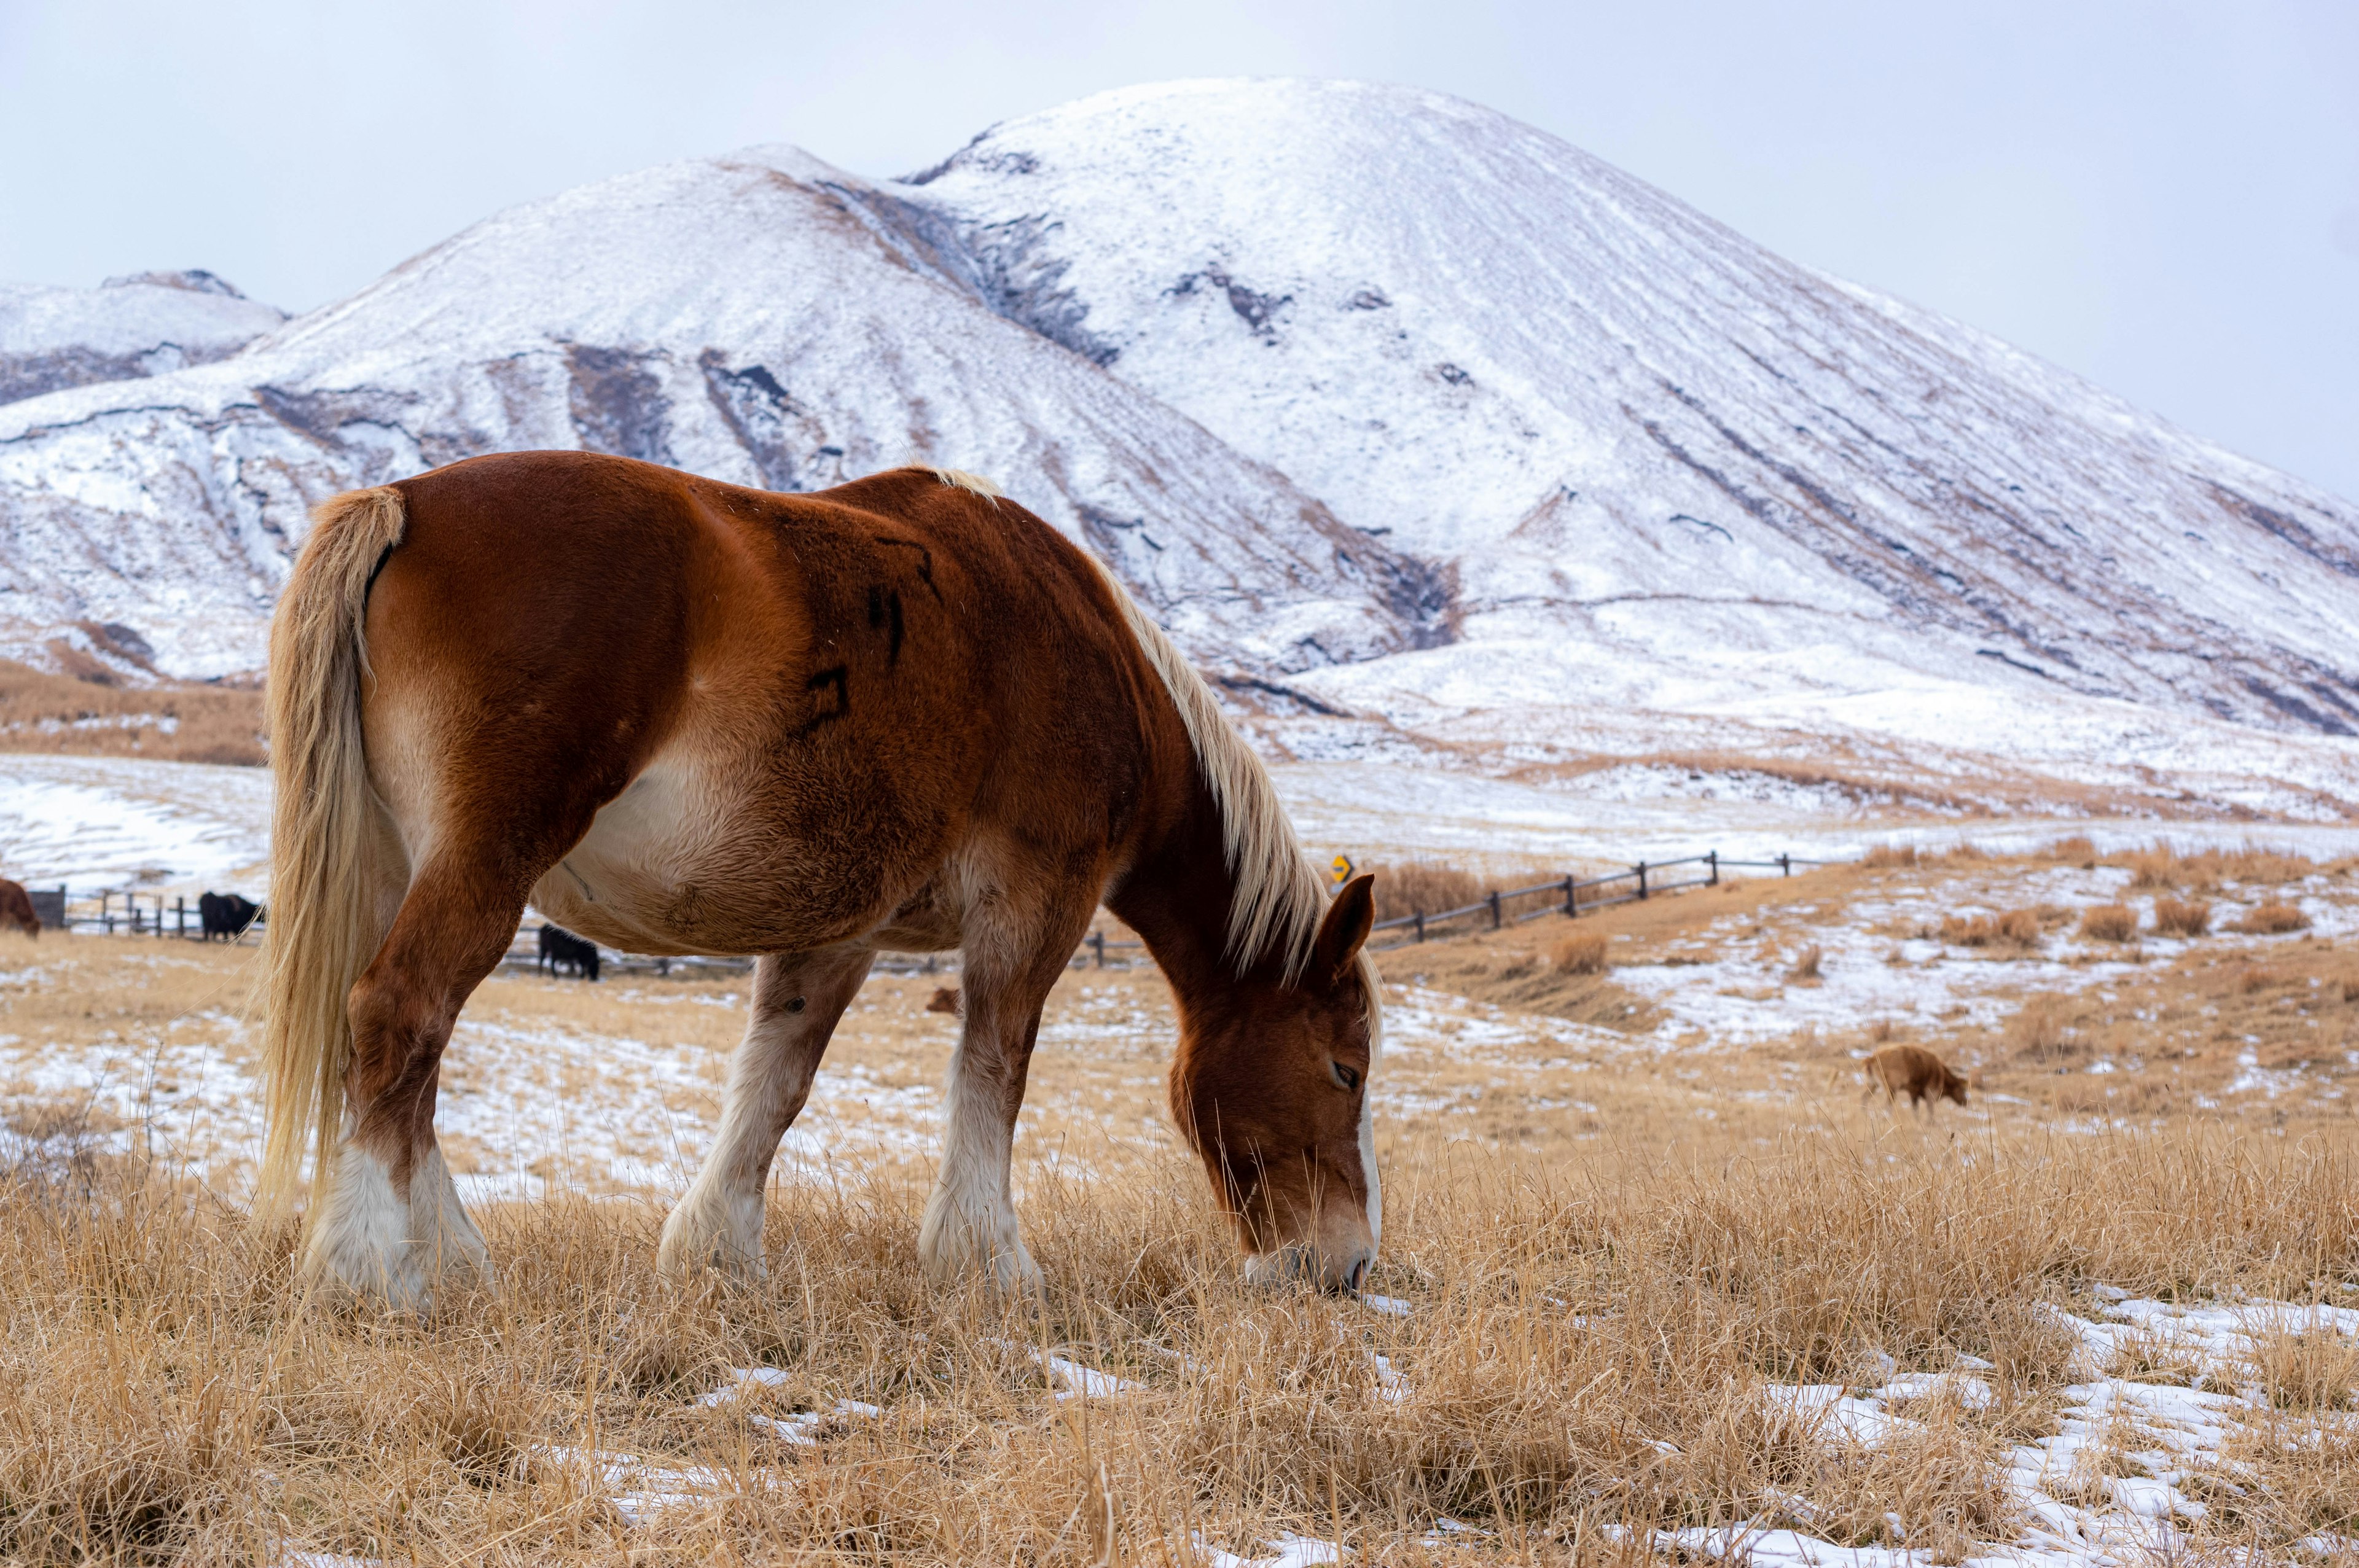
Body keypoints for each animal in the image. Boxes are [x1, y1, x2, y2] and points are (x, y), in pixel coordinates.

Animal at [253, 453, 1377, 1311]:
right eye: (1346, 1070)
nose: (1348, 1265)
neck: (1096, 662)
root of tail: (401, 502)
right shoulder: (1033, 911)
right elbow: (995, 1072)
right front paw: (992, 1265)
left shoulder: (837, 930)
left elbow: (774, 1081)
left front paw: (719, 1252)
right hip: (483, 865)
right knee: (399, 1014)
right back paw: (372, 1265)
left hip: (395, 867)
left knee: (390, 1045)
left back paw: (447, 1253)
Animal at [1858, 1047, 1972, 1117]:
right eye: (1963, 1089)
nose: (1966, 1102)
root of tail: (1871, 1059)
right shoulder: (1927, 1090)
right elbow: (1926, 1108)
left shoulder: (1913, 1091)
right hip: (1891, 1088)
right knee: (1888, 1104)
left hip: (1872, 1084)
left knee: (1864, 1097)